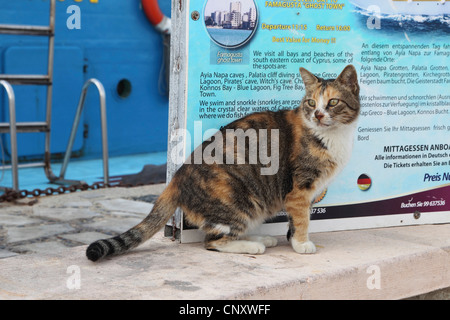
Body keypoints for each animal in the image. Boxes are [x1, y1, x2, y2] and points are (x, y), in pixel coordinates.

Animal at [86, 65, 360, 262]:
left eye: (333, 102)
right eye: (311, 103)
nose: (318, 115)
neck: (333, 136)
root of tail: (176, 177)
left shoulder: (304, 194)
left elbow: (294, 221)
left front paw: (293, 241)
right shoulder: (300, 189)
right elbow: (302, 219)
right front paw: (302, 244)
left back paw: (261, 238)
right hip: (240, 200)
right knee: (213, 241)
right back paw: (253, 245)